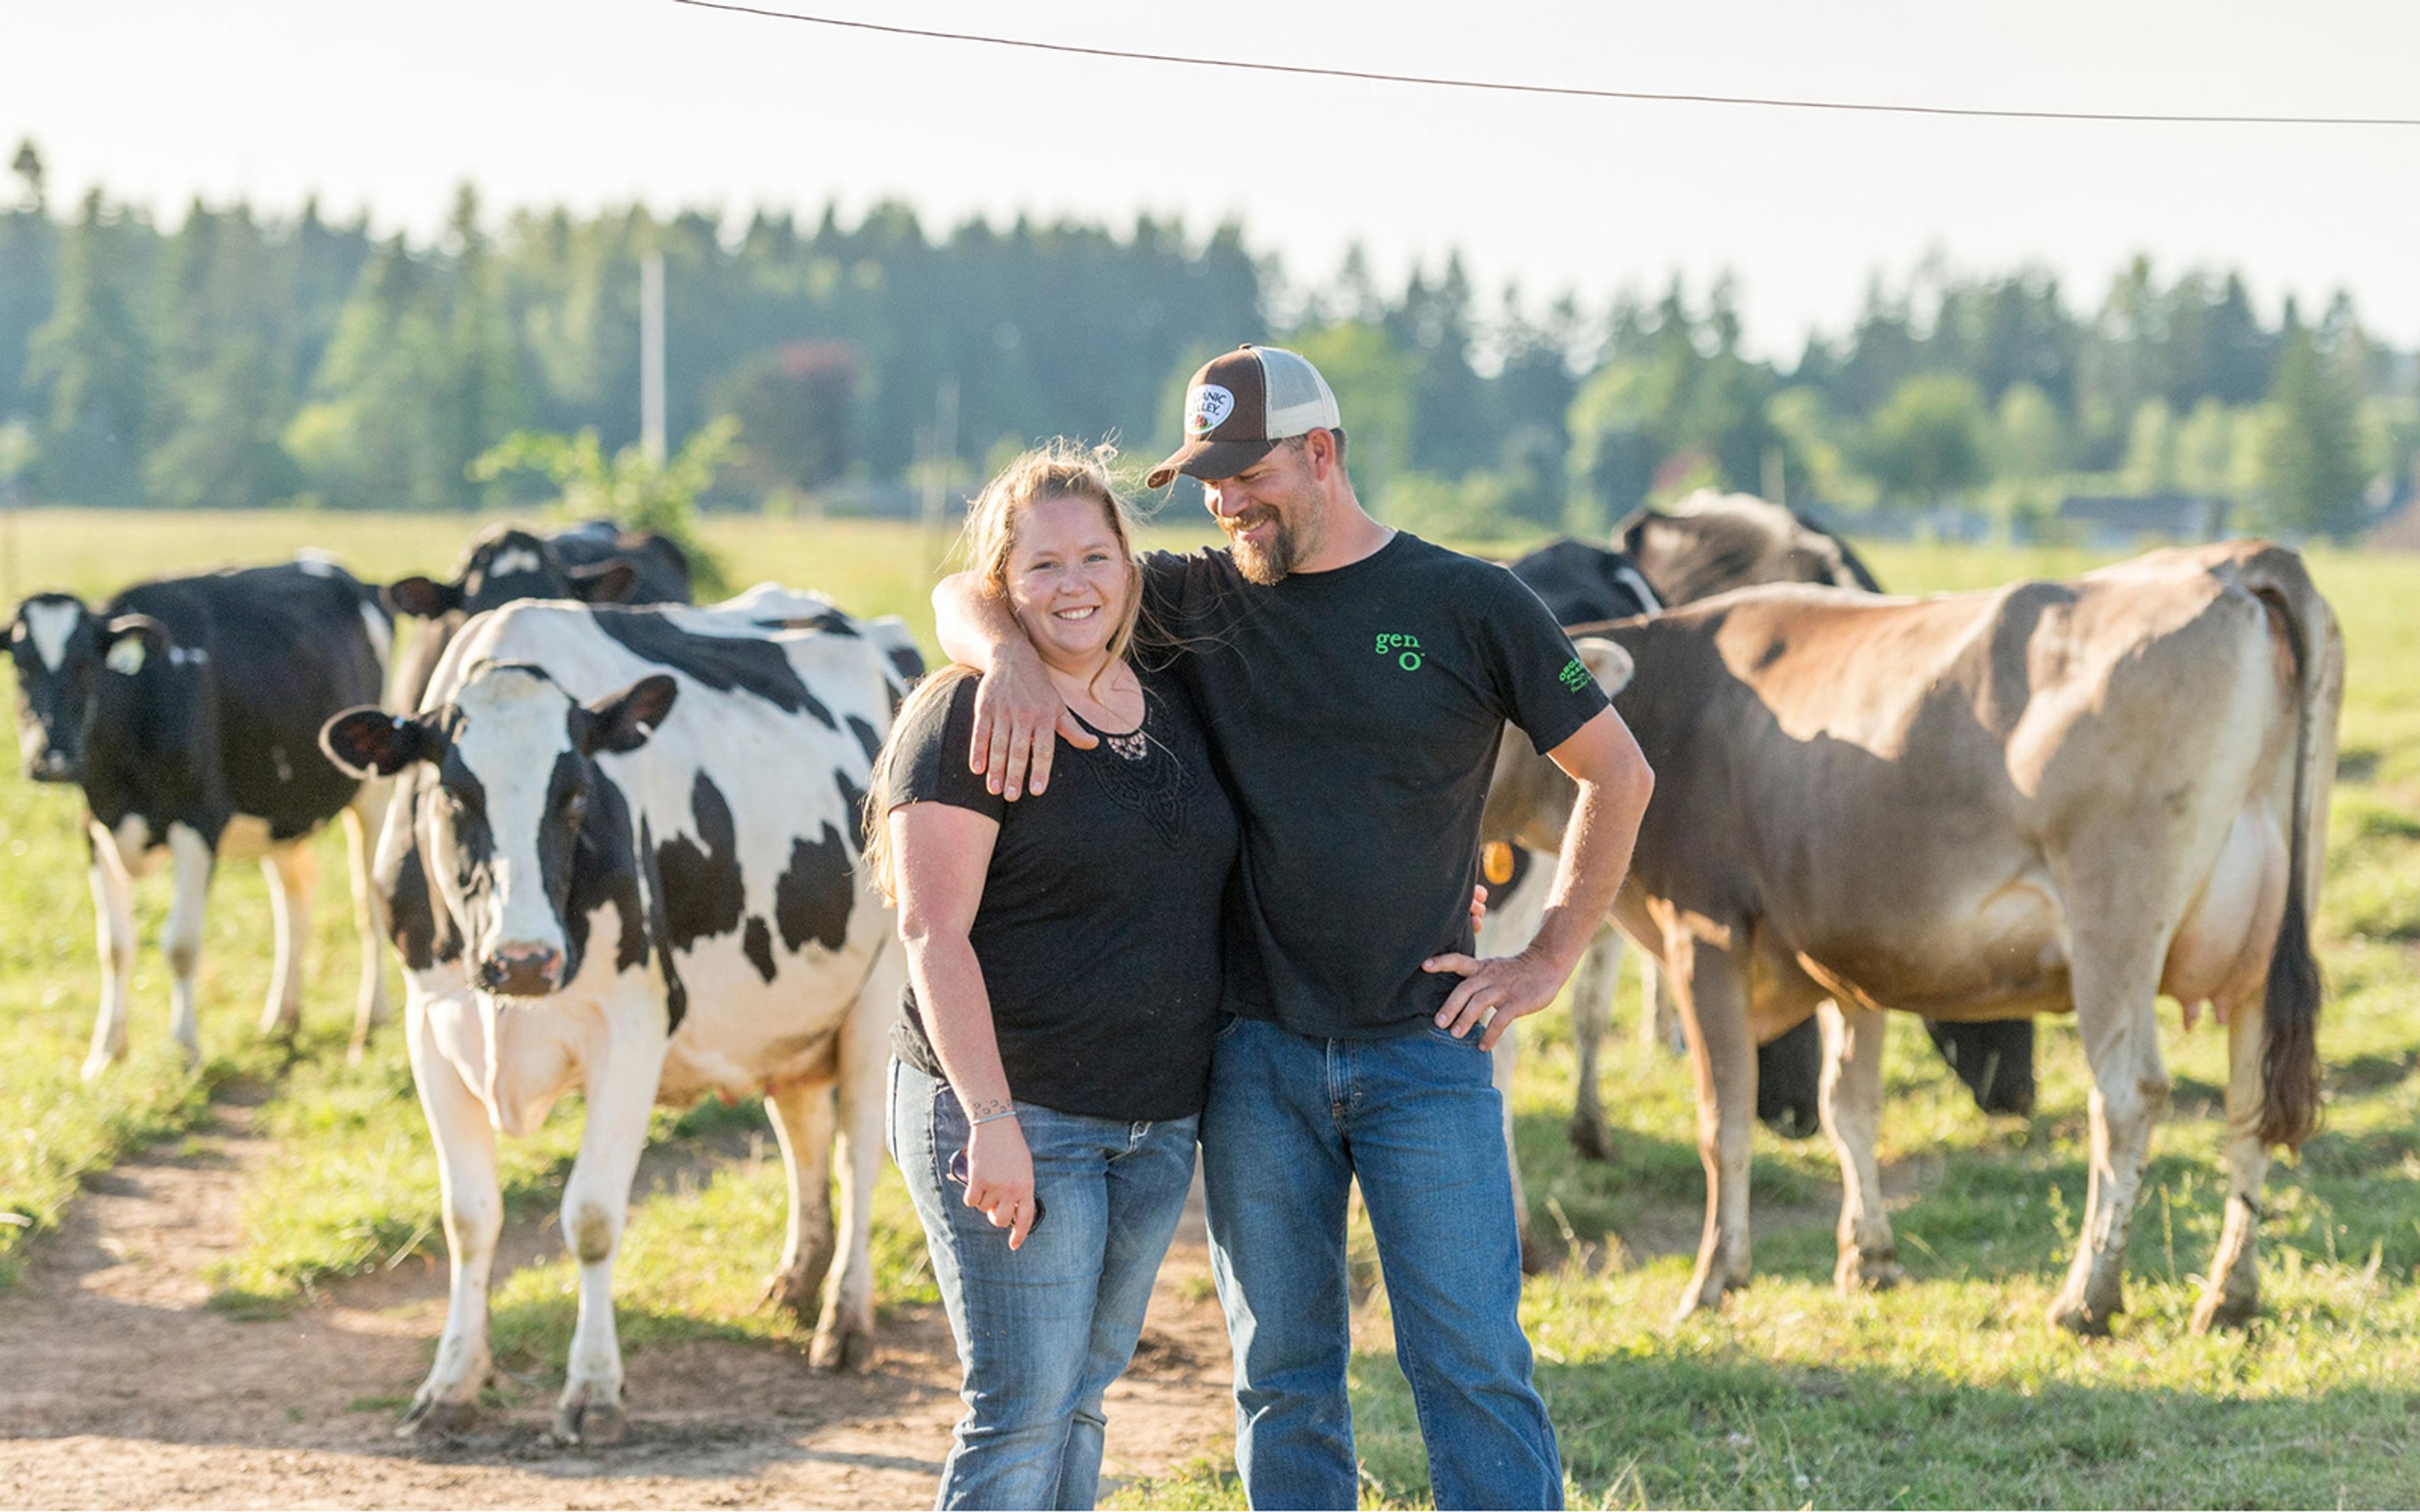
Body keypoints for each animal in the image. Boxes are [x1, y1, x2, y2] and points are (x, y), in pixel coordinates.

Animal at [7, 554, 392, 1074]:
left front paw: (186, 1050)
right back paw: (282, 1019)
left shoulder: (198, 823)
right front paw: (105, 1052)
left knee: (368, 905)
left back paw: (369, 1025)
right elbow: (114, 946)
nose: (52, 760)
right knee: (296, 896)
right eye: (20, 664)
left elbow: (181, 946)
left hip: (372, 794)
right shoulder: (96, 828)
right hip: (280, 808)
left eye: (86, 664)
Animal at [317, 580, 919, 1441]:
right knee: (803, 1130)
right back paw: (797, 1282)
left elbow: (594, 1216)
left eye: (575, 796)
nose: (525, 959)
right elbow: (469, 1218)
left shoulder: (633, 1027)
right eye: (452, 795)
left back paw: (846, 1320)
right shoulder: (430, 1025)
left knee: (859, 1151)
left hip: (881, 995)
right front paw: (453, 1381)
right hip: (785, 1009)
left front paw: (594, 1389)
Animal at [1500, 542, 2332, 1335]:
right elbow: (1850, 1106)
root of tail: (2234, 561)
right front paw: (1868, 1260)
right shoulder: (1847, 955)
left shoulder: (1705, 934)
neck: (1679, 701)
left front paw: (1713, 1280)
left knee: (2127, 1098)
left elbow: (1723, 1119)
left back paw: (2087, 1298)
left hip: (2115, 932)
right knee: (2250, 1105)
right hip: (2263, 951)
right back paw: (2230, 1297)